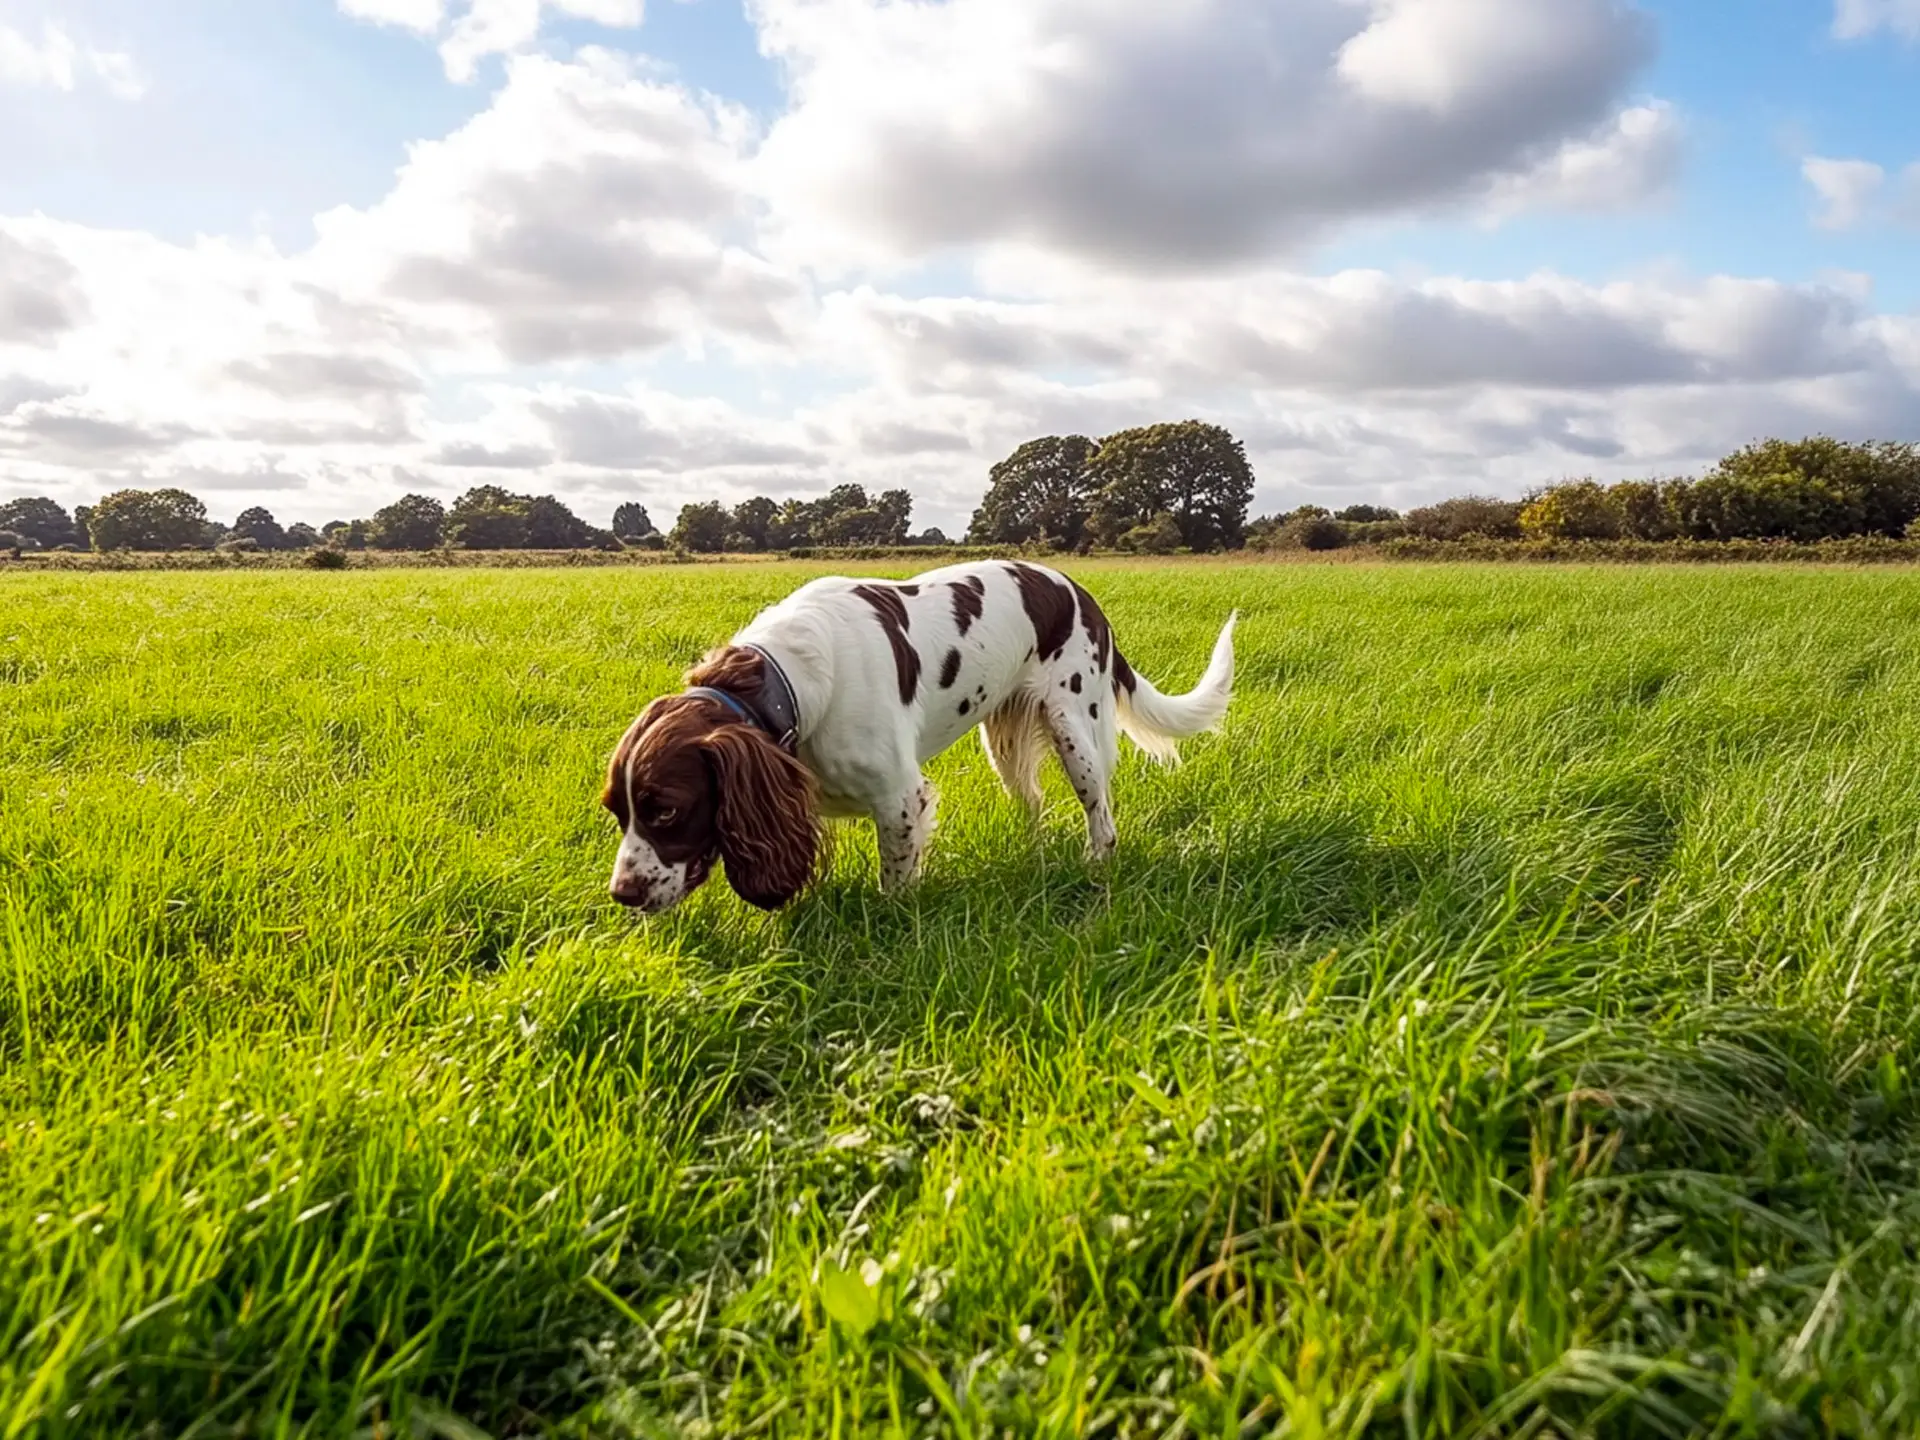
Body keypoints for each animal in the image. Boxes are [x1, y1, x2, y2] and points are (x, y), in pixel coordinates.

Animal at [599, 560, 1236, 913]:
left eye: (665, 810)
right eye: (616, 811)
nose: (622, 893)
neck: (794, 681)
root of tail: (1085, 595)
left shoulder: (900, 799)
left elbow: (895, 880)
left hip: (1073, 724)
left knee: (1100, 816)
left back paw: (1093, 867)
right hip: (1003, 742)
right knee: (1033, 803)